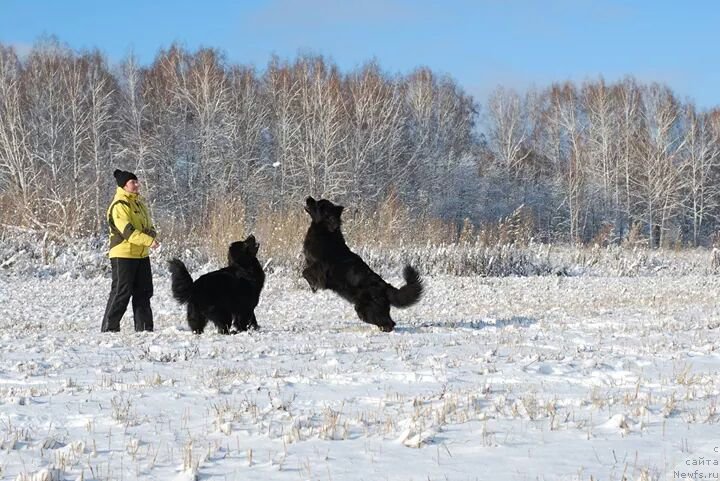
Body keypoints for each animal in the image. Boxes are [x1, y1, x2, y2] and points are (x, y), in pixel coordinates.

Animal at [302, 195, 424, 330]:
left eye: (318, 204)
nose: (308, 197)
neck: (325, 231)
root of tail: (385, 286)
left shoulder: (320, 268)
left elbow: (305, 272)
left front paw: (313, 287)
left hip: (365, 308)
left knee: (386, 322)